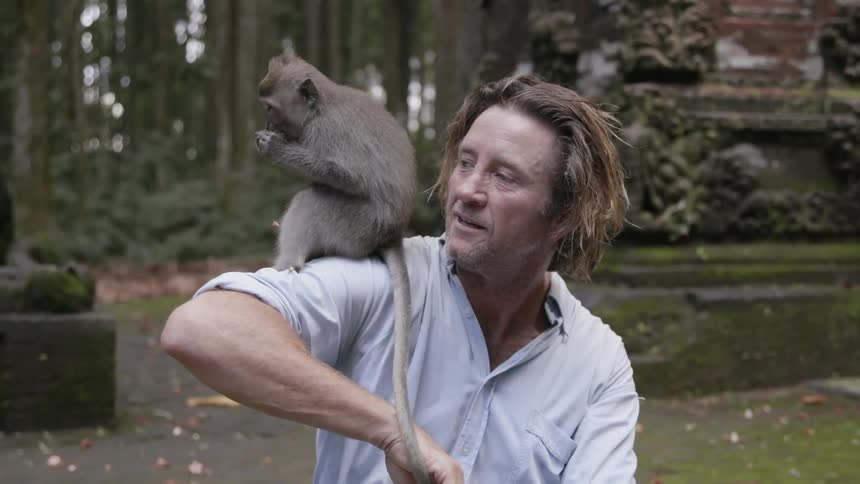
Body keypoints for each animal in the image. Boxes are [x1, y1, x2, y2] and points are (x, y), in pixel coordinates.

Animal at [255, 49, 430, 484]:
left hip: (355, 226)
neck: (320, 109)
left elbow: (345, 176)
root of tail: (391, 233)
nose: (268, 125)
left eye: (271, 109)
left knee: (315, 198)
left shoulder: (327, 136)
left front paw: (276, 149)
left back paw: (288, 265)